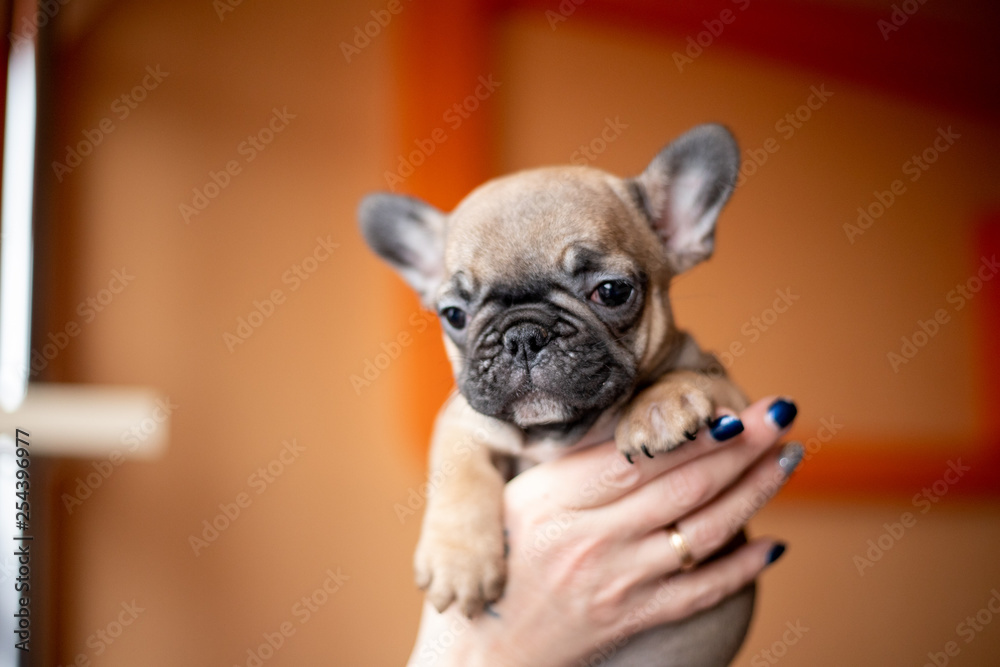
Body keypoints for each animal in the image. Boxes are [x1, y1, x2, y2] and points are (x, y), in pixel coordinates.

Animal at [362, 124, 756, 664]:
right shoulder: (462, 422)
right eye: (454, 315)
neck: (557, 434)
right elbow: (459, 472)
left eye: (611, 291)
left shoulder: (735, 396)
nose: (523, 335)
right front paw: (458, 561)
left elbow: (697, 376)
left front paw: (657, 406)